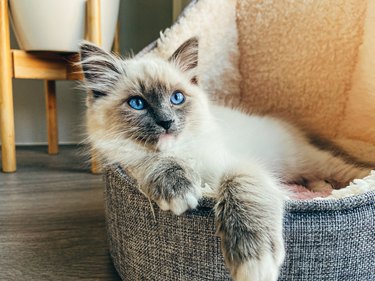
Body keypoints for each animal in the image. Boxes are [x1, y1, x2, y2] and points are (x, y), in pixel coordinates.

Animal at [78, 37, 370, 280]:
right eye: (137, 103)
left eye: (177, 98)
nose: (166, 122)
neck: (183, 152)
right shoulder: (127, 158)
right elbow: (154, 163)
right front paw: (178, 191)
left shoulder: (234, 166)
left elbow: (239, 187)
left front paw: (253, 263)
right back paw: (322, 189)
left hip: (307, 161)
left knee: (345, 170)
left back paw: (356, 180)